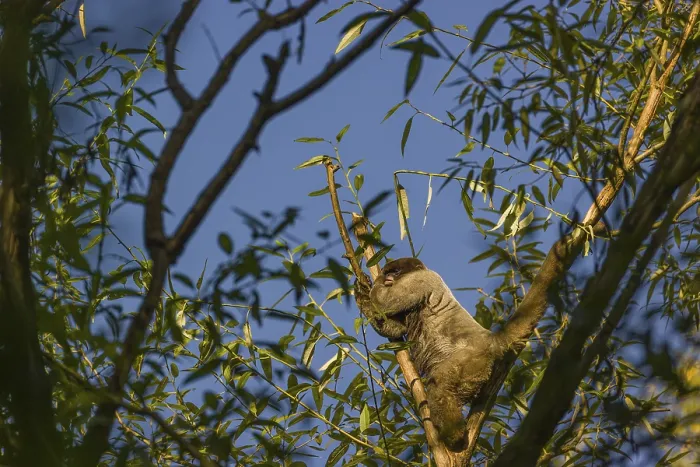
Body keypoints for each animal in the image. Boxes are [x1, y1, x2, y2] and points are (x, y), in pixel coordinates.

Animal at [354, 257, 507, 450]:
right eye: (388, 271)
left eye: (395, 272)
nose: (387, 277)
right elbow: (394, 327)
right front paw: (360, 293)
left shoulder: (420, 280)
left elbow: (386, 303)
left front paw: (366, 285)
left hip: (472, 360)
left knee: (439, 385)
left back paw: (455, 436)